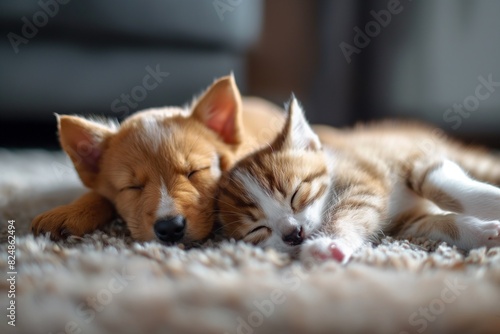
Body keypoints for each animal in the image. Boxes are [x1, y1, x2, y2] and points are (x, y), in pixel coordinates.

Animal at [217, 96, 500, 264]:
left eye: (297, 193)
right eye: (257, 229)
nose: (293, 234)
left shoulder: (413, 161)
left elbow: (441, 185)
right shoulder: (406, 223)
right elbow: (439, 223)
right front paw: (483, 233)